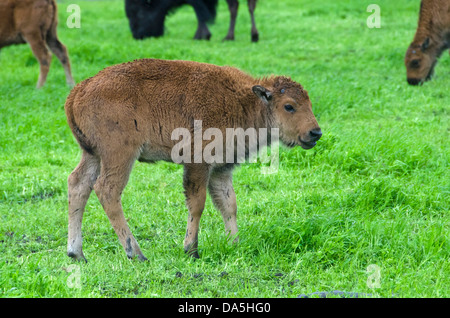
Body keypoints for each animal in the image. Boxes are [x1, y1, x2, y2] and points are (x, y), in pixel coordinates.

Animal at [65, 58, 322, 262]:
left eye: (309, 103)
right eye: (289, 106)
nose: (315, 133)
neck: (245, 101)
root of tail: (79, 90)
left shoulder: (221, 169)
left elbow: (229, 205)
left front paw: (234, 244)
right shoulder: (198, 164)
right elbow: (197, 204)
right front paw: (191, 250)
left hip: (93, 155)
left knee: (78, 185)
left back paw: (76, 254)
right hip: (119, 155)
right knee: (107, 190)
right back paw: (136, 253)